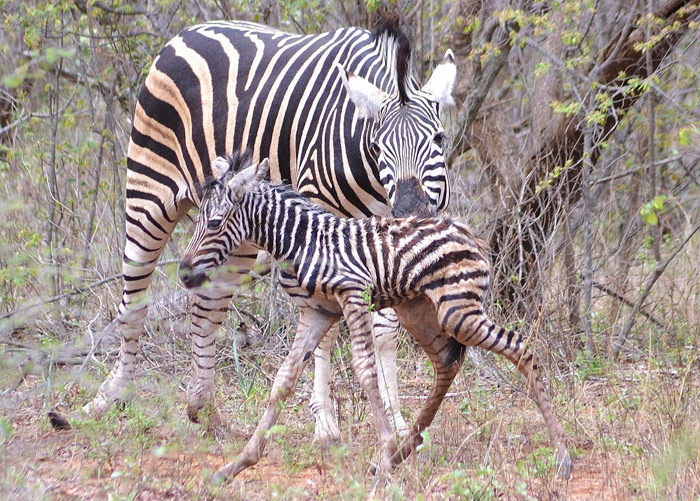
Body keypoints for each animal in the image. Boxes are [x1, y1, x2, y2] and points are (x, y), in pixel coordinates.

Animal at [77, 19, 457, 441]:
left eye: (438, 139)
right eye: (376, 147)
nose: (411, 211)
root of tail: (188, 32)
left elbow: (385, 330)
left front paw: (397, 420)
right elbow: (326, 329)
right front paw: (325, 422)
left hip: (238, 230)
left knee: (208, 304)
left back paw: (205, 410)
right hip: (148, 192)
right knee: (134, 299)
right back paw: (112, 396)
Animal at [178, 153, 573, 482]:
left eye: (214, 223)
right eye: (198, 219)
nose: (183, 274)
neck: (303, 240)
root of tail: (467, 232)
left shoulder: (354, 295)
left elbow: (366, 371)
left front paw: (383, 455)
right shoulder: (317, 312)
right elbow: (284, 381)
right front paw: (238, 463)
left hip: (457, 311)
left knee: (520, 348)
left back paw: (562, 457)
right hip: (421, 313)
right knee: (446, 365)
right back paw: (405, 450)